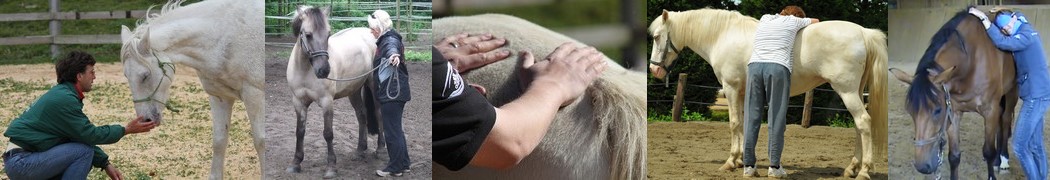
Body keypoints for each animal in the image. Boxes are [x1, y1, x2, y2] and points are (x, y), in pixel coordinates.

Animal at [118, 0, 266, 178]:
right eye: (126, 76)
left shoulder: (254, 96)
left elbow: (260, 141)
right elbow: (219, 141)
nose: (145, 120)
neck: (223, 34)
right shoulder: (219, 97)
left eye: (145, 75)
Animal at [646, 8, 886, 180]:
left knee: (863, 122)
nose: (654, 70)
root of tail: (863, 32)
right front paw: (742, 161)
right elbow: (743, 125)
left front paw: (730, 161)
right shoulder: (742, 93)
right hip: (855, 91)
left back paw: (864, 171)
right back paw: (851, 168)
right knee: (858, 126)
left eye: (657, 37)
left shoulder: (731, 88)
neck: (723, 35)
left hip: (846, 91)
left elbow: (734, 123)